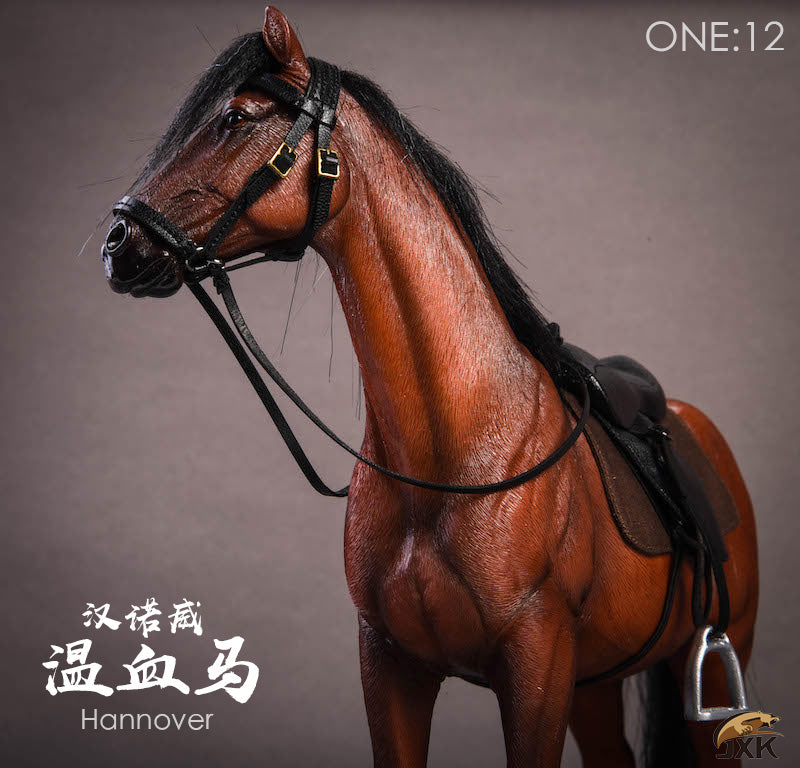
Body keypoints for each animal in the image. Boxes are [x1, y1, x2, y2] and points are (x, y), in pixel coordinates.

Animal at [102, 7, 759, 767]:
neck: (453, 450)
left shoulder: (535, 671)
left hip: (710, 669)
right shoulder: (389, 664)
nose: (118, 242)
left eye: (235, 118)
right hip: (595, 682)